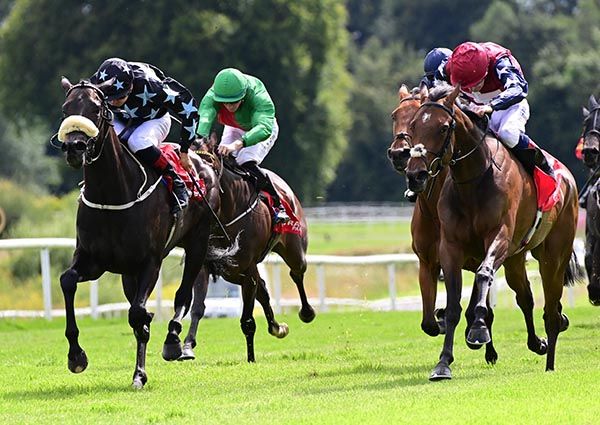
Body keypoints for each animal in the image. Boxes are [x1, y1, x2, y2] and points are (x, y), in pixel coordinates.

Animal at [56, 78, 218, 388]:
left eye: (96, 108)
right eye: (65, 108)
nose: (74, 148)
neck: (112, 194)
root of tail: (205, 164)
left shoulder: (150, 262)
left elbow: (137, 313)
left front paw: (142, 369)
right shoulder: (93, 261)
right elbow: (67, 281)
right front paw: (76, 356)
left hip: (198, 242)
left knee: (184, 294)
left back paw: (173, 341)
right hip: (128, 273)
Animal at [178, 134, 314, 362]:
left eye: (210, 161)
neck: (224, 214)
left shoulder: (248, 269)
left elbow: (247, 321)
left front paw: (251, 358)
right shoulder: (206, 264)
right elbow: (197, 308)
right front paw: (187, 346)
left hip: (294, 250)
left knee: (296, 273)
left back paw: (306, 312)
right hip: (233, 271)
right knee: (264, 290)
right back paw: (277, 327)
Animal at [386, 83, 500, 364]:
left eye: (416, 116)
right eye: (395, 116)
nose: (399, 153)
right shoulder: (428, 262)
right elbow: (428, 322)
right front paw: (439, 320)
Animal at [406, 84, 580, 380]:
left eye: (443, 128)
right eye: (413, 125)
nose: (414, 174)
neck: (472, 181)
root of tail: (567, 176)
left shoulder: (498, 236)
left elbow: (484, 274)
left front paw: (478, 329)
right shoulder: (449, 248)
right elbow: (453, 306)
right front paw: (443, 362)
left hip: (554, 256)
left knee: (551, 311)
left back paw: (550, 361)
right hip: (515, 259)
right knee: (525, 297)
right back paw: (538, 343)